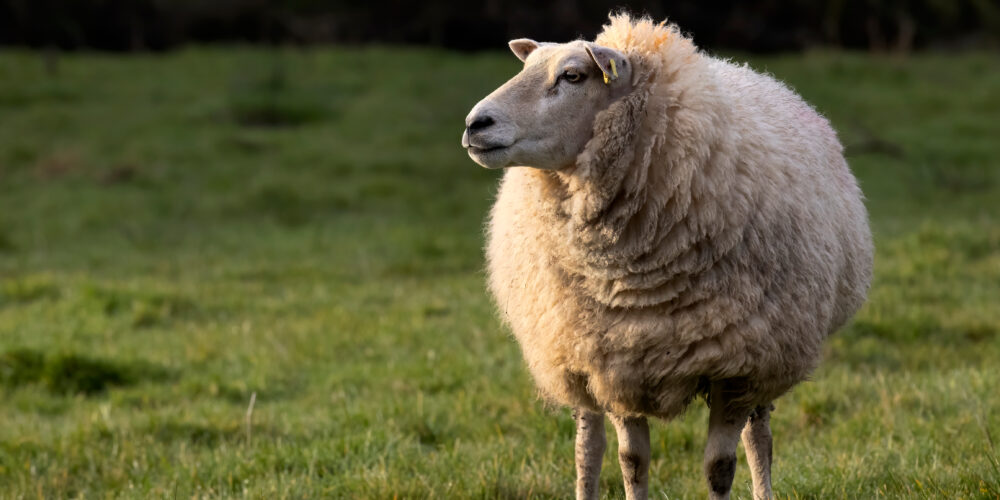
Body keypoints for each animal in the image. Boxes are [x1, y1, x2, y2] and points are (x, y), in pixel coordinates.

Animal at [460, 14, 873, 500]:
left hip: (771, 348)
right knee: (588, 446)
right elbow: (632, 462)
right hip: (570, 348)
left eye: (573, 76)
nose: (474, 124)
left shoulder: (739, 366)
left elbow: (720, 466)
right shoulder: (615, 359)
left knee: (760, 438)